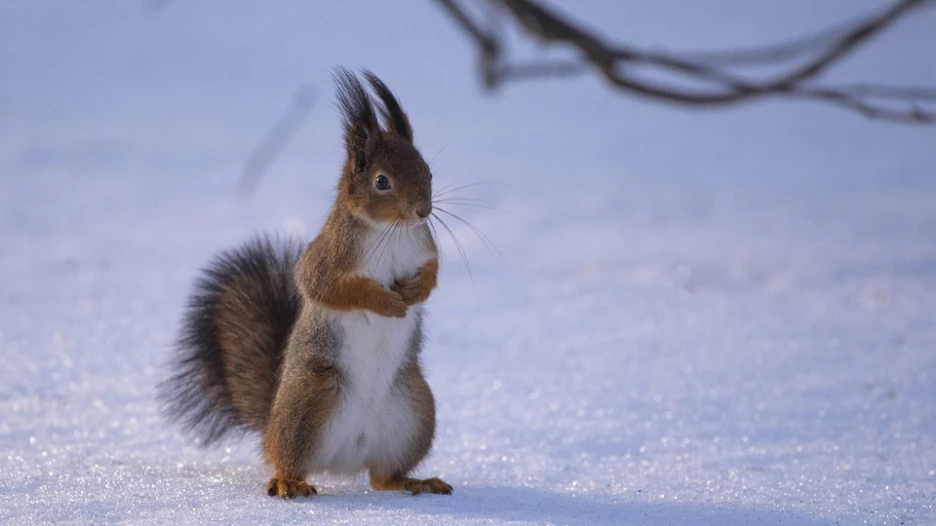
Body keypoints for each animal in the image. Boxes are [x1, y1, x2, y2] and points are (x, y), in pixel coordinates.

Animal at [157, 68, 452, 498]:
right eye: (382, 182)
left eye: (427, 170)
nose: (423, 210)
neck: (391, 231)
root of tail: (345, 460)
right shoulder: (327, 257)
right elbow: (326, 287)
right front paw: (383, 301)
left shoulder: (423, 247)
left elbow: (432, 272)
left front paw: (415, 291)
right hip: (310, 399)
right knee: (288, 459)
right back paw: (289, 483)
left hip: (414, 409)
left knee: (383, 478)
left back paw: (414, 481)